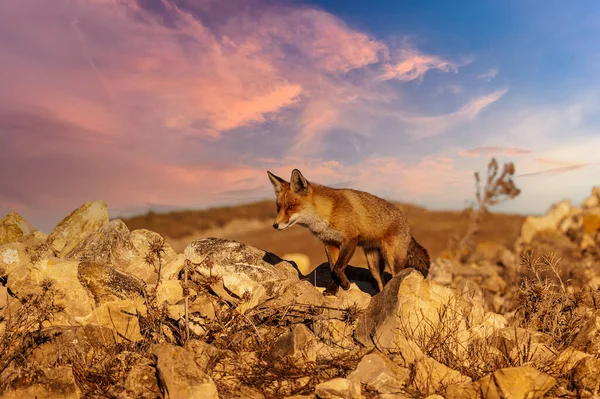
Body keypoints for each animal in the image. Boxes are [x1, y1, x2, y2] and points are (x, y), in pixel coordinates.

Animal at [268, 167, 432, 296]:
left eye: (291, 207)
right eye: (278, 207)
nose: (275, 225)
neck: (326, 213)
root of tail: (407, 224)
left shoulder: (350, 239)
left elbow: (337, 268)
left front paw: (345, 285)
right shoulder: (329, 243)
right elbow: (332, 269)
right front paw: (332, 291)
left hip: (393, 260)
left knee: (395, 278)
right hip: (373, 265)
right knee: (382, 282)